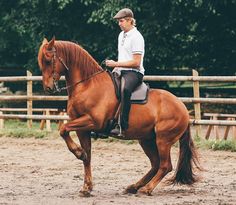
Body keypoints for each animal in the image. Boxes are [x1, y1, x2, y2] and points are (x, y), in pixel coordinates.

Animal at [37, 37, 200, 196]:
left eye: (48, 60)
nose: (48, 88)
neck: (87, 85)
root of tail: (182, 108)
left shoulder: (92, 122)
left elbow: (63, 129)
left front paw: (78, 152)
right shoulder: (81, 128)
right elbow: (87, 155)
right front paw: (86, 186)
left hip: (163, 140)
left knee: (165, 166)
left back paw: (147, 189)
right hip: (146, 140)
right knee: (155, 164)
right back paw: (134, 186)